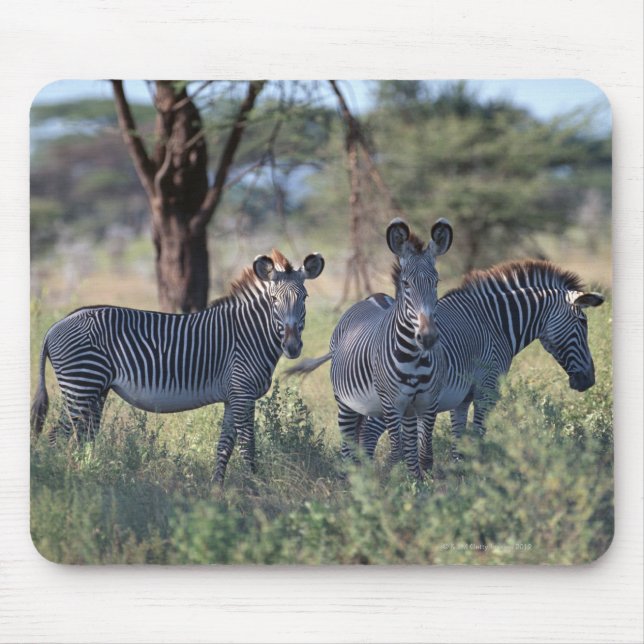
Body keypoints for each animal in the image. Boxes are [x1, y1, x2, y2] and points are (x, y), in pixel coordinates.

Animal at [31, 249, 325, 484]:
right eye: (274, 300)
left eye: (305, 298)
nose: (292, 347)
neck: (249, 334)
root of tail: (55, 326)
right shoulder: (243, 393)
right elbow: (247, 446)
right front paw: (254, 487)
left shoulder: (233, 396)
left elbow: (224, 446)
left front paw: (217, 489)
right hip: (81, 385)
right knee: (58, 436)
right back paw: (62, 478)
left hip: (95, 390)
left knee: (84, 436)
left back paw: (87, 475)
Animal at [284, 218, 453, 479]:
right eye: (406, 284)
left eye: (436, 283)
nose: (427, 337)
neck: (414, 358)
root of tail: (374, 297)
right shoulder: (392, 404)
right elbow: (397, 452)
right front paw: (386, 482)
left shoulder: (427, 403)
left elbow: (422, 454)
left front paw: (419, 485)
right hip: (346, 403)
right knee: (348, 445)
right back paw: (351, 478)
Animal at [359, 259, 605, 468]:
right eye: (583, 321)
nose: (589, 380)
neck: (495, 324)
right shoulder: (487, 389)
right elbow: (477, 436)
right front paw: (480, 476)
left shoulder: (462, 397)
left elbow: (458, 440)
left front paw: (460, 475)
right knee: (369, 434)